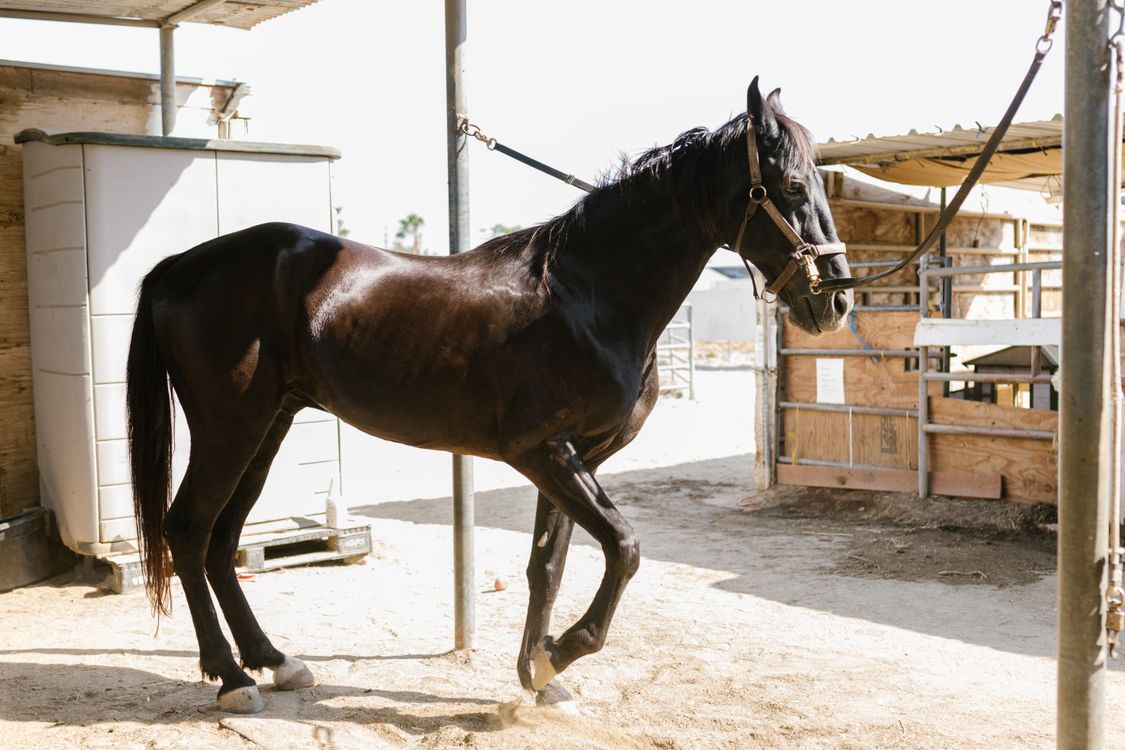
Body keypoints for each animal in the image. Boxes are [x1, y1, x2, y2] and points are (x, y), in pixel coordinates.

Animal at [125, 77, 852, 714]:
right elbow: (623, 548)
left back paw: (274, 661)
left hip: (269, 425)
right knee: (189, 530)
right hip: (230, 427)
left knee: (223, 539)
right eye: (790, 186)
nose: (835, 299)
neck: (584, 295)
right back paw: (230, 679)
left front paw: (539, 676)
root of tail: (179, 266)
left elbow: (547, 565)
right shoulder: (543, 452)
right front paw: (560, 655)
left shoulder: (578, 457)